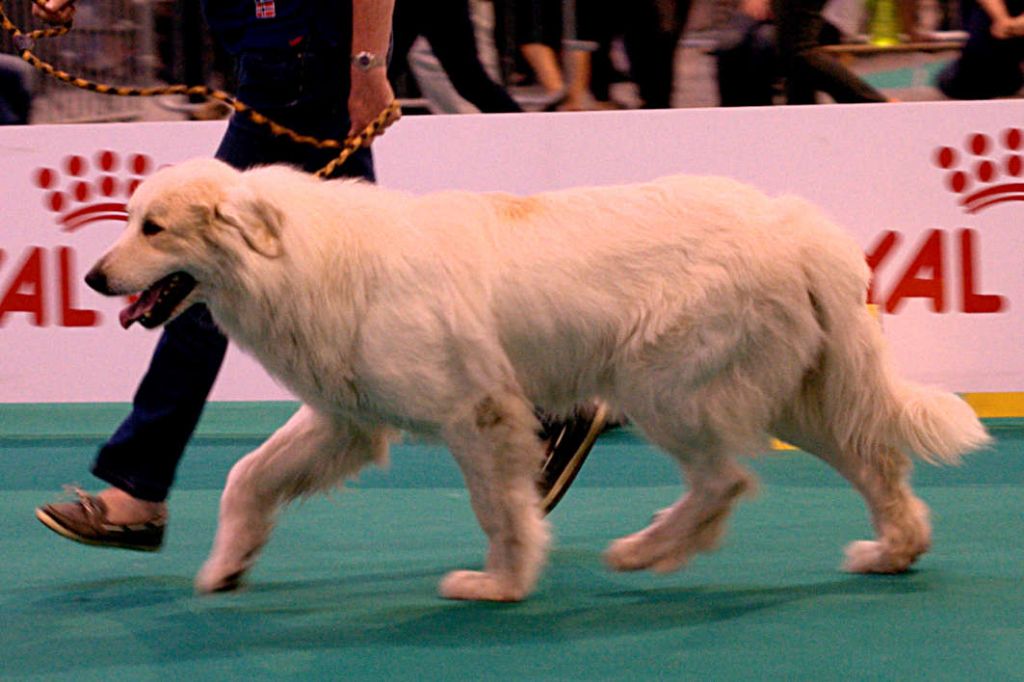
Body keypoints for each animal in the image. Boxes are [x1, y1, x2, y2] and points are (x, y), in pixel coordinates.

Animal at [88, 156, 991, 598]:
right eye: (128, 219)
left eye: (153, 228)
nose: (95, 277)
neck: (303, 259)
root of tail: (796, 223)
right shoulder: (345, 422)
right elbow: (248, 477)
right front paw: (225, 568)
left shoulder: (479, 416)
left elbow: (502, 513)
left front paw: (500, 586)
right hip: (799, 397)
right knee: (876, 466)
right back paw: (891, 555)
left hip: (664, 388)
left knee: (725, 481)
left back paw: (643, 552)